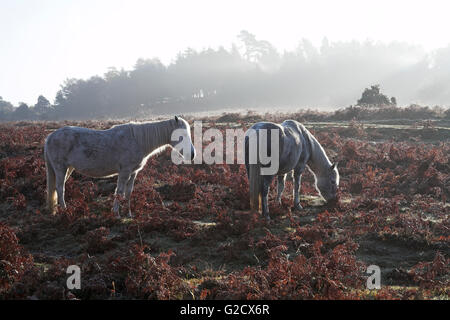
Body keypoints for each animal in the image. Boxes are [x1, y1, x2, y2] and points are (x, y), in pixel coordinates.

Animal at [42, 116, 195, 216]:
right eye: (181, 135)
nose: (192, 154)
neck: (137, 140)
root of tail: (49, 137)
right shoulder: (124, 172)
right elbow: (119, 192)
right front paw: (116, 213)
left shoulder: (133, 173)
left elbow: (128, 193)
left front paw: (129, 214)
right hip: (61, 168)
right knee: (60, 188)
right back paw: (65, 210)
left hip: (68, 168)